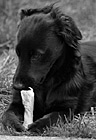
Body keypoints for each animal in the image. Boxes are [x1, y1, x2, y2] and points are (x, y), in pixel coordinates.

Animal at [1, 3, 96, 132]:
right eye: (18, 52)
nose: (16, 86)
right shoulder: (16, 103)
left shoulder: (66, 108)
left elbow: (53, 117)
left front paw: (37, 125)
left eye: (37, 55)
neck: (46, 83)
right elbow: (7, 115)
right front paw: (13, 124)